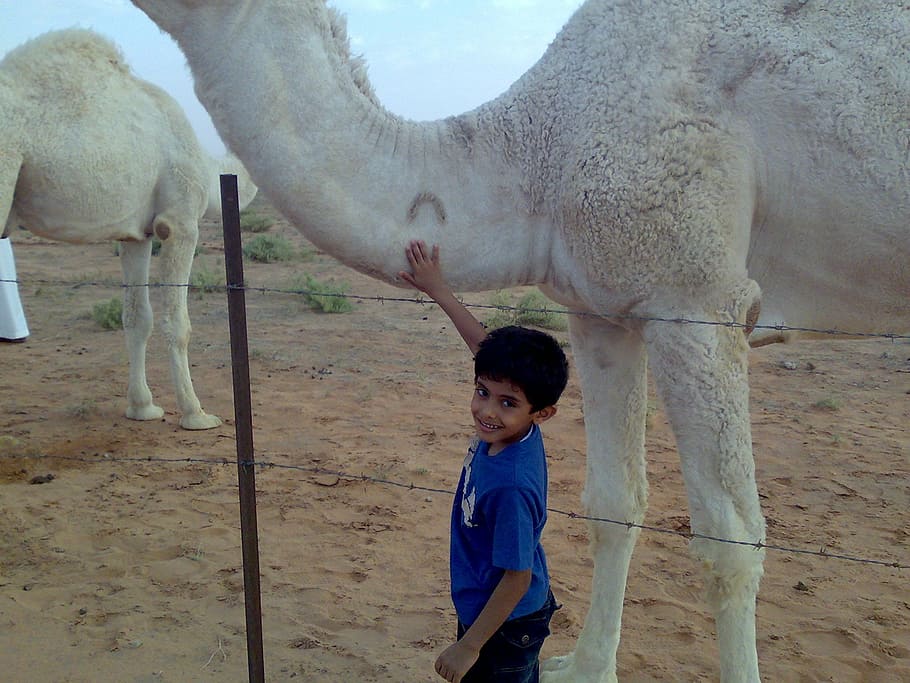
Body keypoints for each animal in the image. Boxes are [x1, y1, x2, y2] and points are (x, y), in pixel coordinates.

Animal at [0, 28, 258, 430]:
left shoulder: (137, 235)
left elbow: (137, 318)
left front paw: (142, 407)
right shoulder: (181, 222)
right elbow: (177, 323)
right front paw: (195, 413)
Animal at [130, 0, 909, 679]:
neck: (541, 151)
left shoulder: (699, 301)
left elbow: (730, 542)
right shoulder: (603, 311)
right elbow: (613, 502)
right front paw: (584, 669)